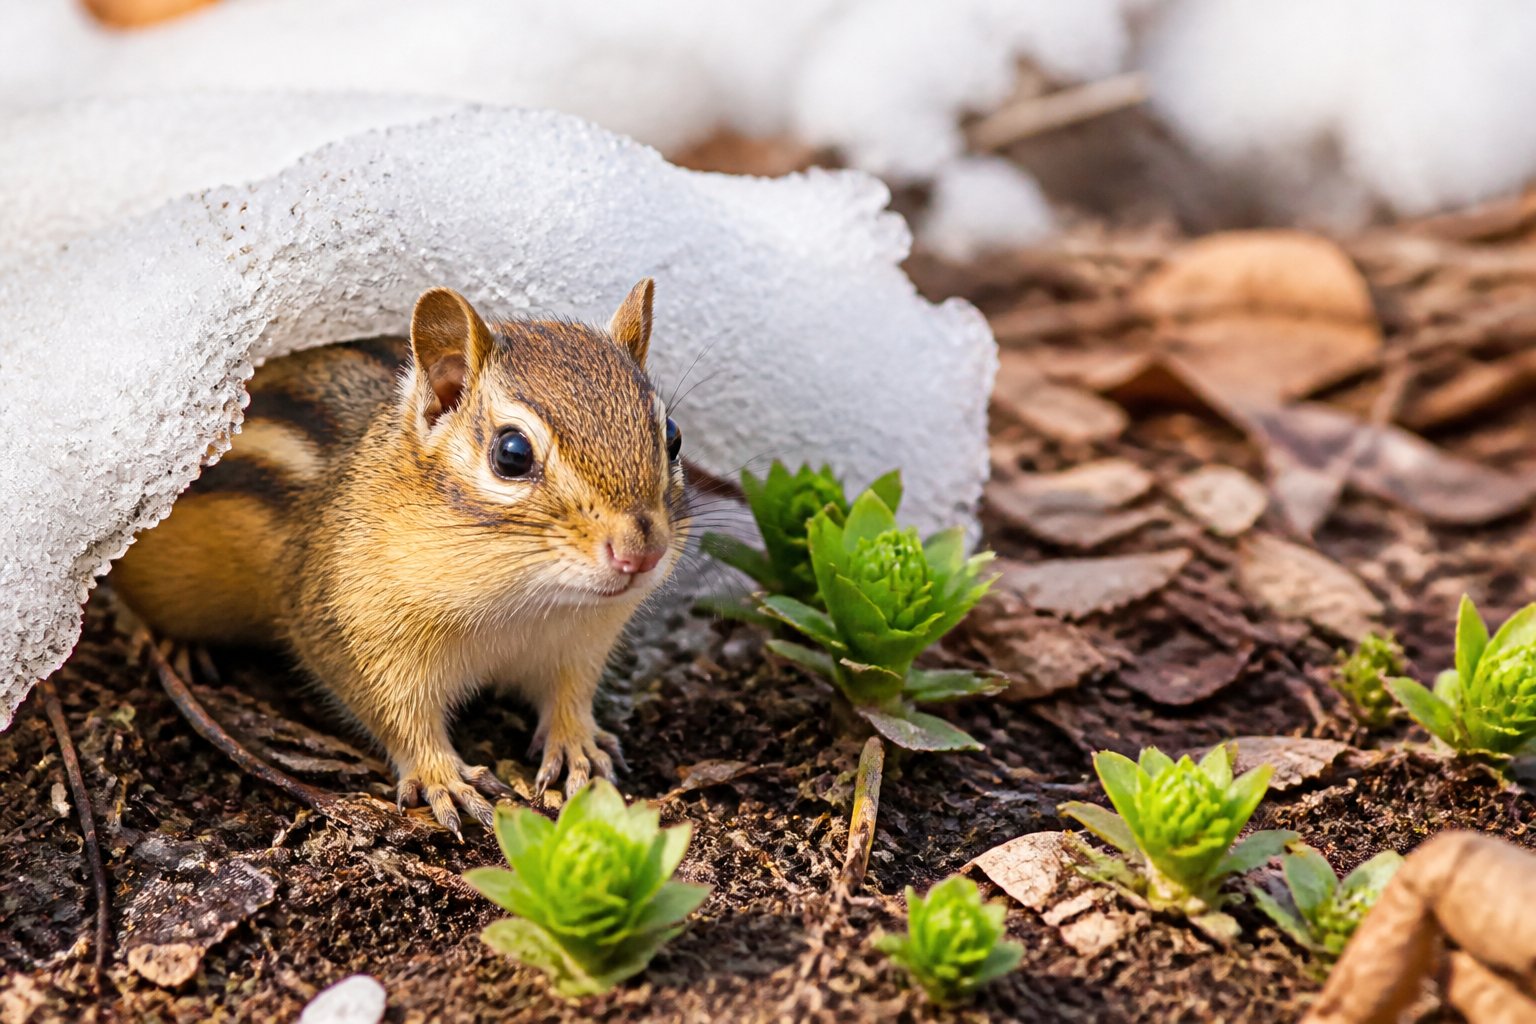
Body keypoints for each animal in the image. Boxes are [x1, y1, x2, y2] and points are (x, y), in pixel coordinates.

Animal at [111, 280, 687, 834]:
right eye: (512, 454)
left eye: (673, 437)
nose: (641, 553)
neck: (526, 603)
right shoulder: (352, 633)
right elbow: (399, 718)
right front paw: (442, 776)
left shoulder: (581, 644)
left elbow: (572, 694)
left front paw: (576, 743)